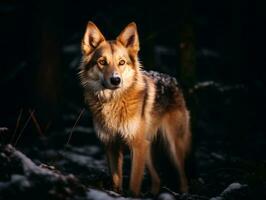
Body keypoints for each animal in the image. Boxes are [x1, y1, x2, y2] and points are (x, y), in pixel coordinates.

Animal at [78, 21, 191, 196]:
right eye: (102, 62)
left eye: (122, 62)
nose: (116, 80)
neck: (113, 102)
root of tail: (173, 80)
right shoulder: (111, 145)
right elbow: (116, 180)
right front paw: (117, 194)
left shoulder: (137, 146)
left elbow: (133, 183)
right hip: (148, 149)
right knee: (157, 179)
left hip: (172, 147)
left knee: (183, 177)